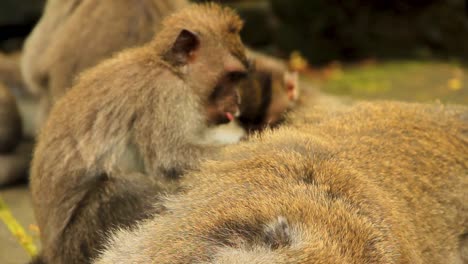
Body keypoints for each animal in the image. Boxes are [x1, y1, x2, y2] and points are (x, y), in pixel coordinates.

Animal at [29, 4, 249, 264]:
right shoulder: (166, 92)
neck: (169, 68)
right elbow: (171, 160)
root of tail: (52, 253)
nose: (238, 101)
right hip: (77, 243)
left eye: (237, 78)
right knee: (125, 189)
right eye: (231, 77)